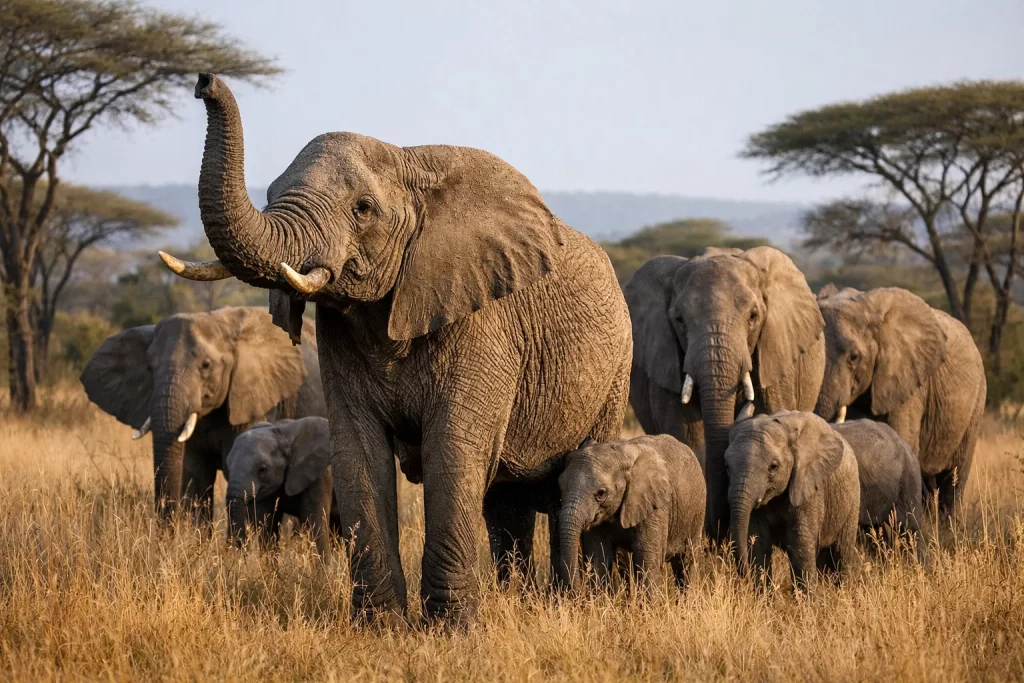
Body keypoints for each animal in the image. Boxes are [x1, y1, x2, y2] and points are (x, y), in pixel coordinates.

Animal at [224, 417, 339, 555]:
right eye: (227, 465)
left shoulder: (318, 476)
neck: (282, 433)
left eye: (262, 469)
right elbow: (268, 526)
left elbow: (315, 523)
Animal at [557, 434, 705, 595]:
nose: (576, 592)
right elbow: (598, 556)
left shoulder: (654, 505)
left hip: (696, 512)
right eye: (560, 487)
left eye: (601, 493)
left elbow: (646, 558)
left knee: (687, 562)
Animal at [725, 411, 860, 589]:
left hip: (852, 498)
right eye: (727, 467)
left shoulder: (809, 487)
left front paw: (807, 597)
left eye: (773, 467)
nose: (743, 575)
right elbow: (757, 543)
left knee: (842, 552)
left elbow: (800, 546)